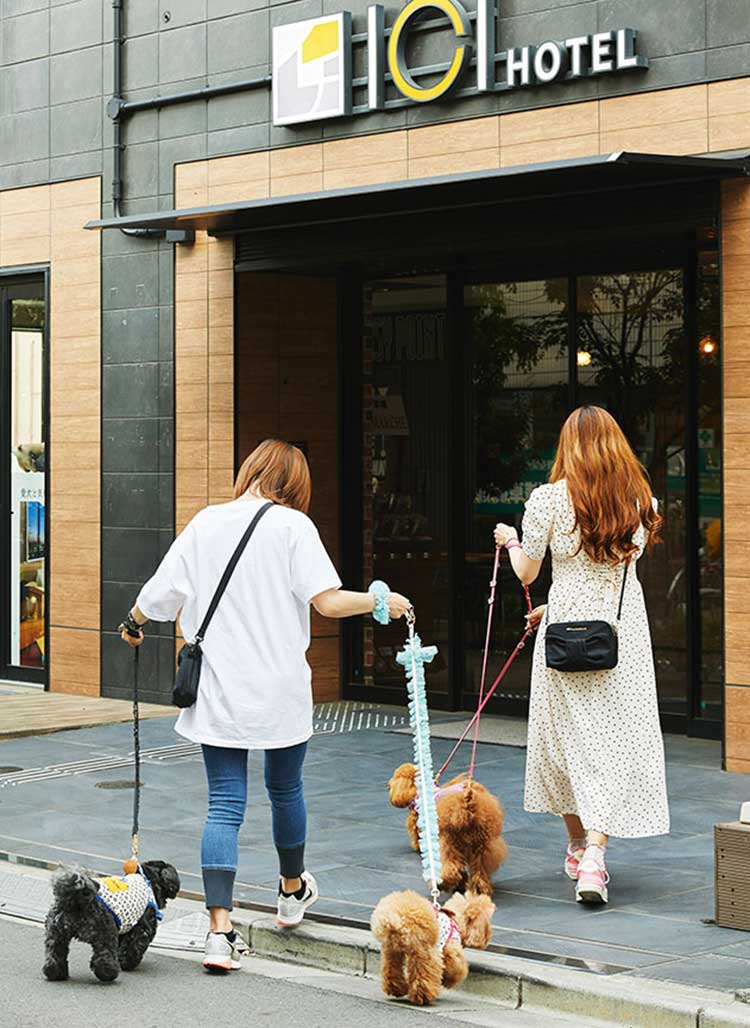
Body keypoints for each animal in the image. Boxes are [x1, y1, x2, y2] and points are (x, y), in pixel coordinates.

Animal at [369, 892, 497, 1003]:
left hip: (391, 950)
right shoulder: (451, 949)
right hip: (423, 950)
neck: (455, 920)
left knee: (390, 970)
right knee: (423, 975)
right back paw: (423, 997)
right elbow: (457, 968)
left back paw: (397, 990)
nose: (487, 939)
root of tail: (393, 919)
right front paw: (448, 981)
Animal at [388, 760, 505, 896]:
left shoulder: (417, 823)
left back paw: (442, 883)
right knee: (479, 868)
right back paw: (478, 889)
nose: (387, 784)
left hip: (449, 842)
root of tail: (466, 805)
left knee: (452, 867)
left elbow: (417, 835)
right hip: (480, 845)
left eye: (396, 776)